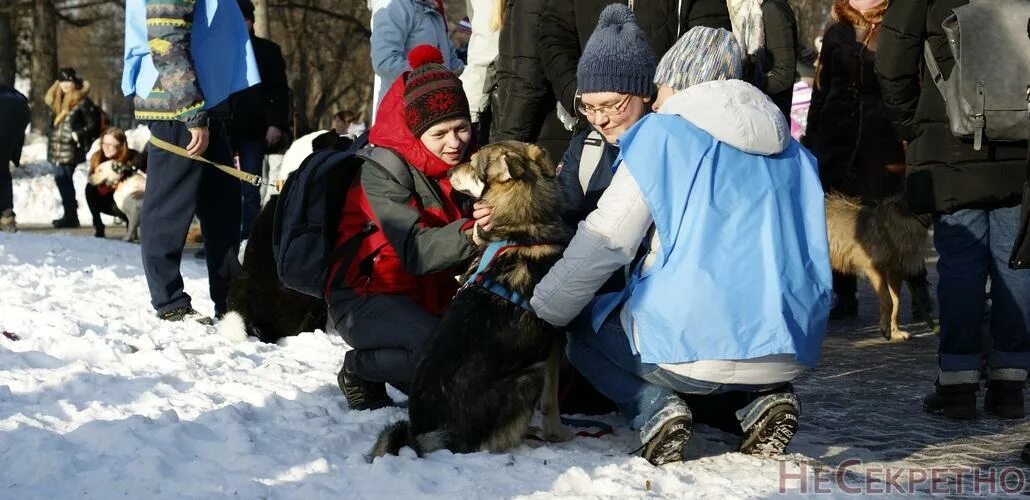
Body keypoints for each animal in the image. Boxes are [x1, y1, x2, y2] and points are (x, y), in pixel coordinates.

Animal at [824, 192, 939, 340]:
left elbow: (896, 302)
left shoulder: (895, 272)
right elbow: (887, 300)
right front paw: (885, 328)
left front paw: (895, 331)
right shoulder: (874, 269)